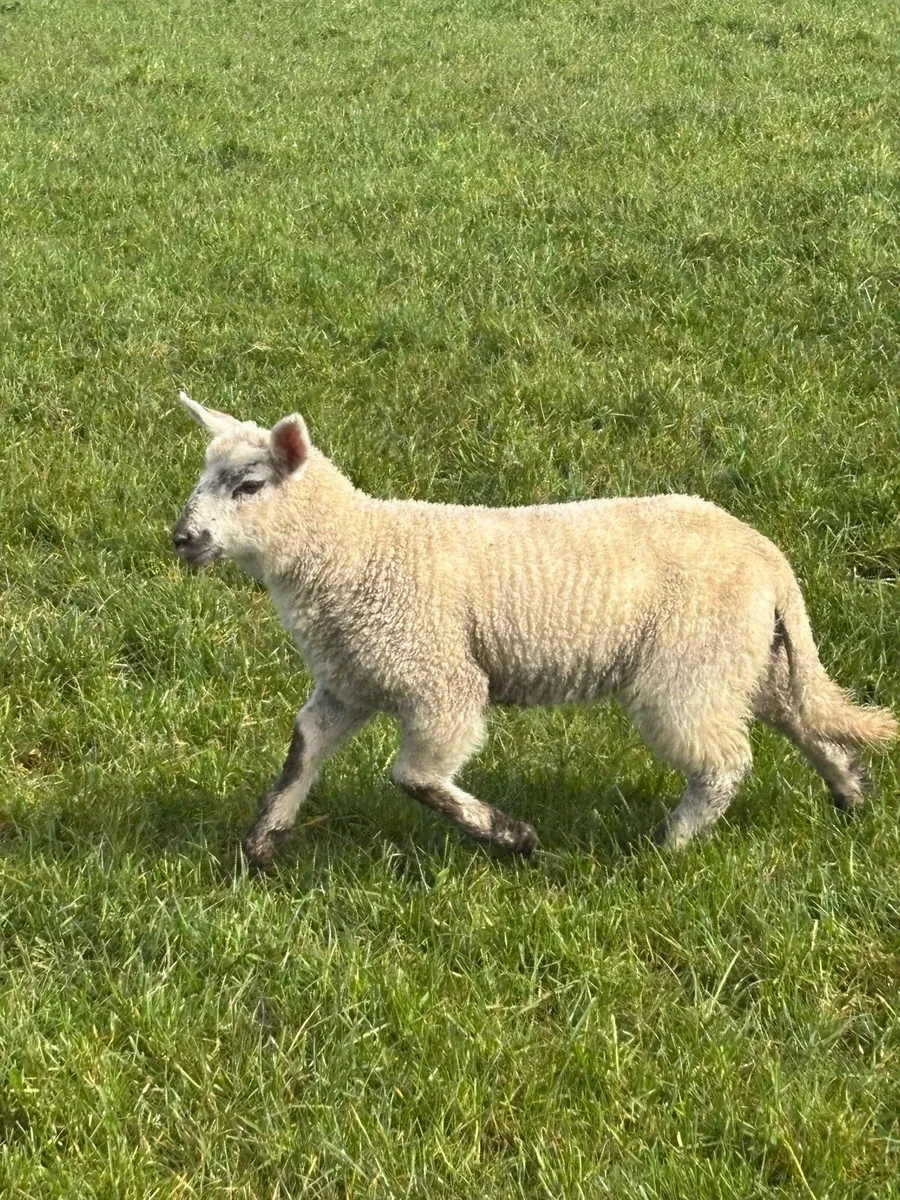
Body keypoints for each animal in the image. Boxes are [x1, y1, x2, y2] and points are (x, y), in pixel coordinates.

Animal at [171, 391, 897, 868]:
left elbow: (415, 776)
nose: (181, 538)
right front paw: (262, 843)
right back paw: (851, 794)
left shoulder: (437, 679)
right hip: (744, 657)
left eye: (248, 486)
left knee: (724, 763)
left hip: (688, 665)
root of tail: (769, 558)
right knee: (805, 720)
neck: (357, 550)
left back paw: (668, 848)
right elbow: (304, 750)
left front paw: (512, 837)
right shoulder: (349, 680)